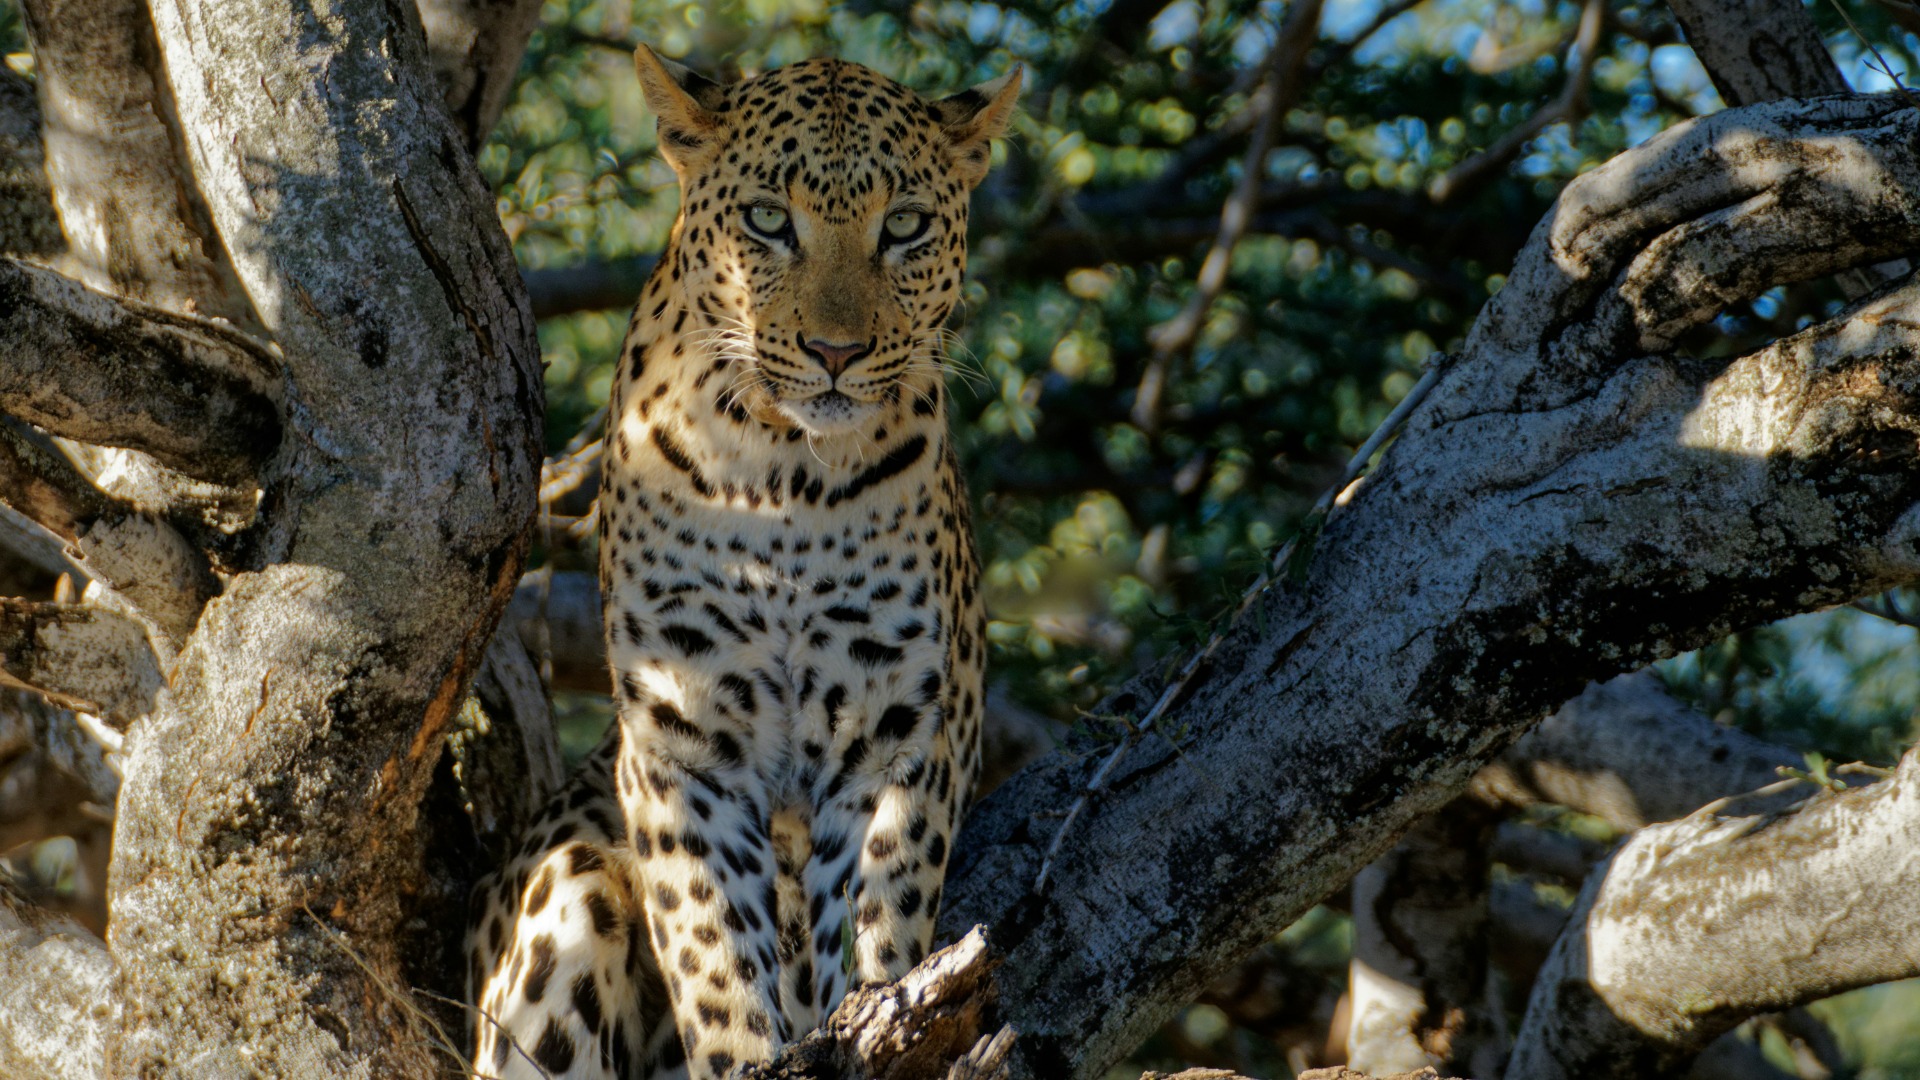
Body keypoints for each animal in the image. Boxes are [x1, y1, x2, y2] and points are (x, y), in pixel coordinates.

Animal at [465, 46, 1019, 1080]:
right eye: (768, 219)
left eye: (905, 226)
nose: (835, 351)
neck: (785, 478)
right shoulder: (682, 734)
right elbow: (711, 946)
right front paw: (751, 1051)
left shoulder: (901, 726)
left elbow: (879, 919)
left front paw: (876, 1024)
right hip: (566, 895)